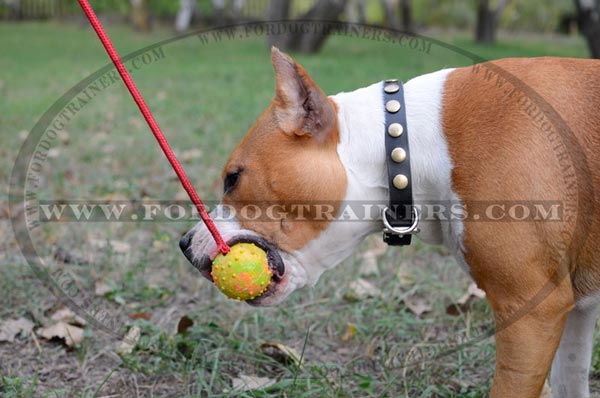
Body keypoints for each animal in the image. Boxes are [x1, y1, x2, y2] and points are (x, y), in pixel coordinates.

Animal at [180, 48, 600, 396]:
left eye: (233, 179)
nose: (184, 244)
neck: (407, 145)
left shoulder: (531, 311)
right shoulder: (574, 308)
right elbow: (570, 380)